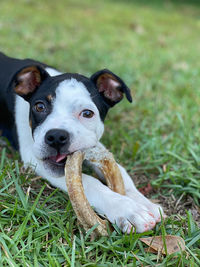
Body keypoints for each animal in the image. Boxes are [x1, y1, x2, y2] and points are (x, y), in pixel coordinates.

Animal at [0, 52, 165, 234]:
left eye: (87, 113)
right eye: (39, 107)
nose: (56, 136)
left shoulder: (93, 145)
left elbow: (121, 172)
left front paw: (145, 202)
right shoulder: (33, 156)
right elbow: (89, 182)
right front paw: (127, 209)